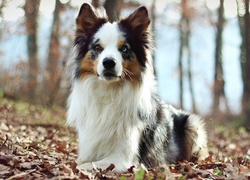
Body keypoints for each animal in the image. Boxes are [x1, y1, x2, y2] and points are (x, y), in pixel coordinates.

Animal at [66, 2, 209, 172]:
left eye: (124, 48)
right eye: (97, 47)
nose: (108, 62)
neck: (109, 93)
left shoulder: (123, 158)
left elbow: (85, 165)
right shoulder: (88, 148)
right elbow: (80, 161)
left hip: (193, 125)